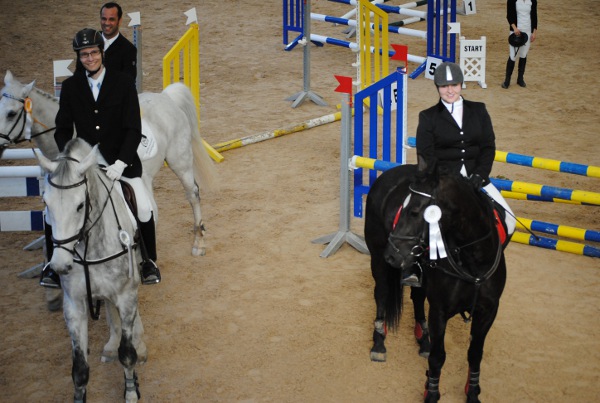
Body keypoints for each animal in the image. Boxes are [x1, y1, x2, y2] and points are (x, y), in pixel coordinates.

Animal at [37, 138, 148, 402]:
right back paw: (111, 343)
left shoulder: (126, 295)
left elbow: (127, 353)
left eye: (80, 206)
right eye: (46, 203)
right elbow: (79, 368)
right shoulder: (74, 304)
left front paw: (131, 390)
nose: (60, 265)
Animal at [364, 157, 506, 403]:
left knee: (417, 297)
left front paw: (472, 392)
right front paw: (431, 394)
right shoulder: (440, 310)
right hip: (377, 259)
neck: (473, 261)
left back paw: (423, 339)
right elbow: (438, 357)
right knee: (381, 293)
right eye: (404, 208)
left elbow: (475, 354)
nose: (392, 254)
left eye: (414, 211)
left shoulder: (488, 311)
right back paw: (379, 343)